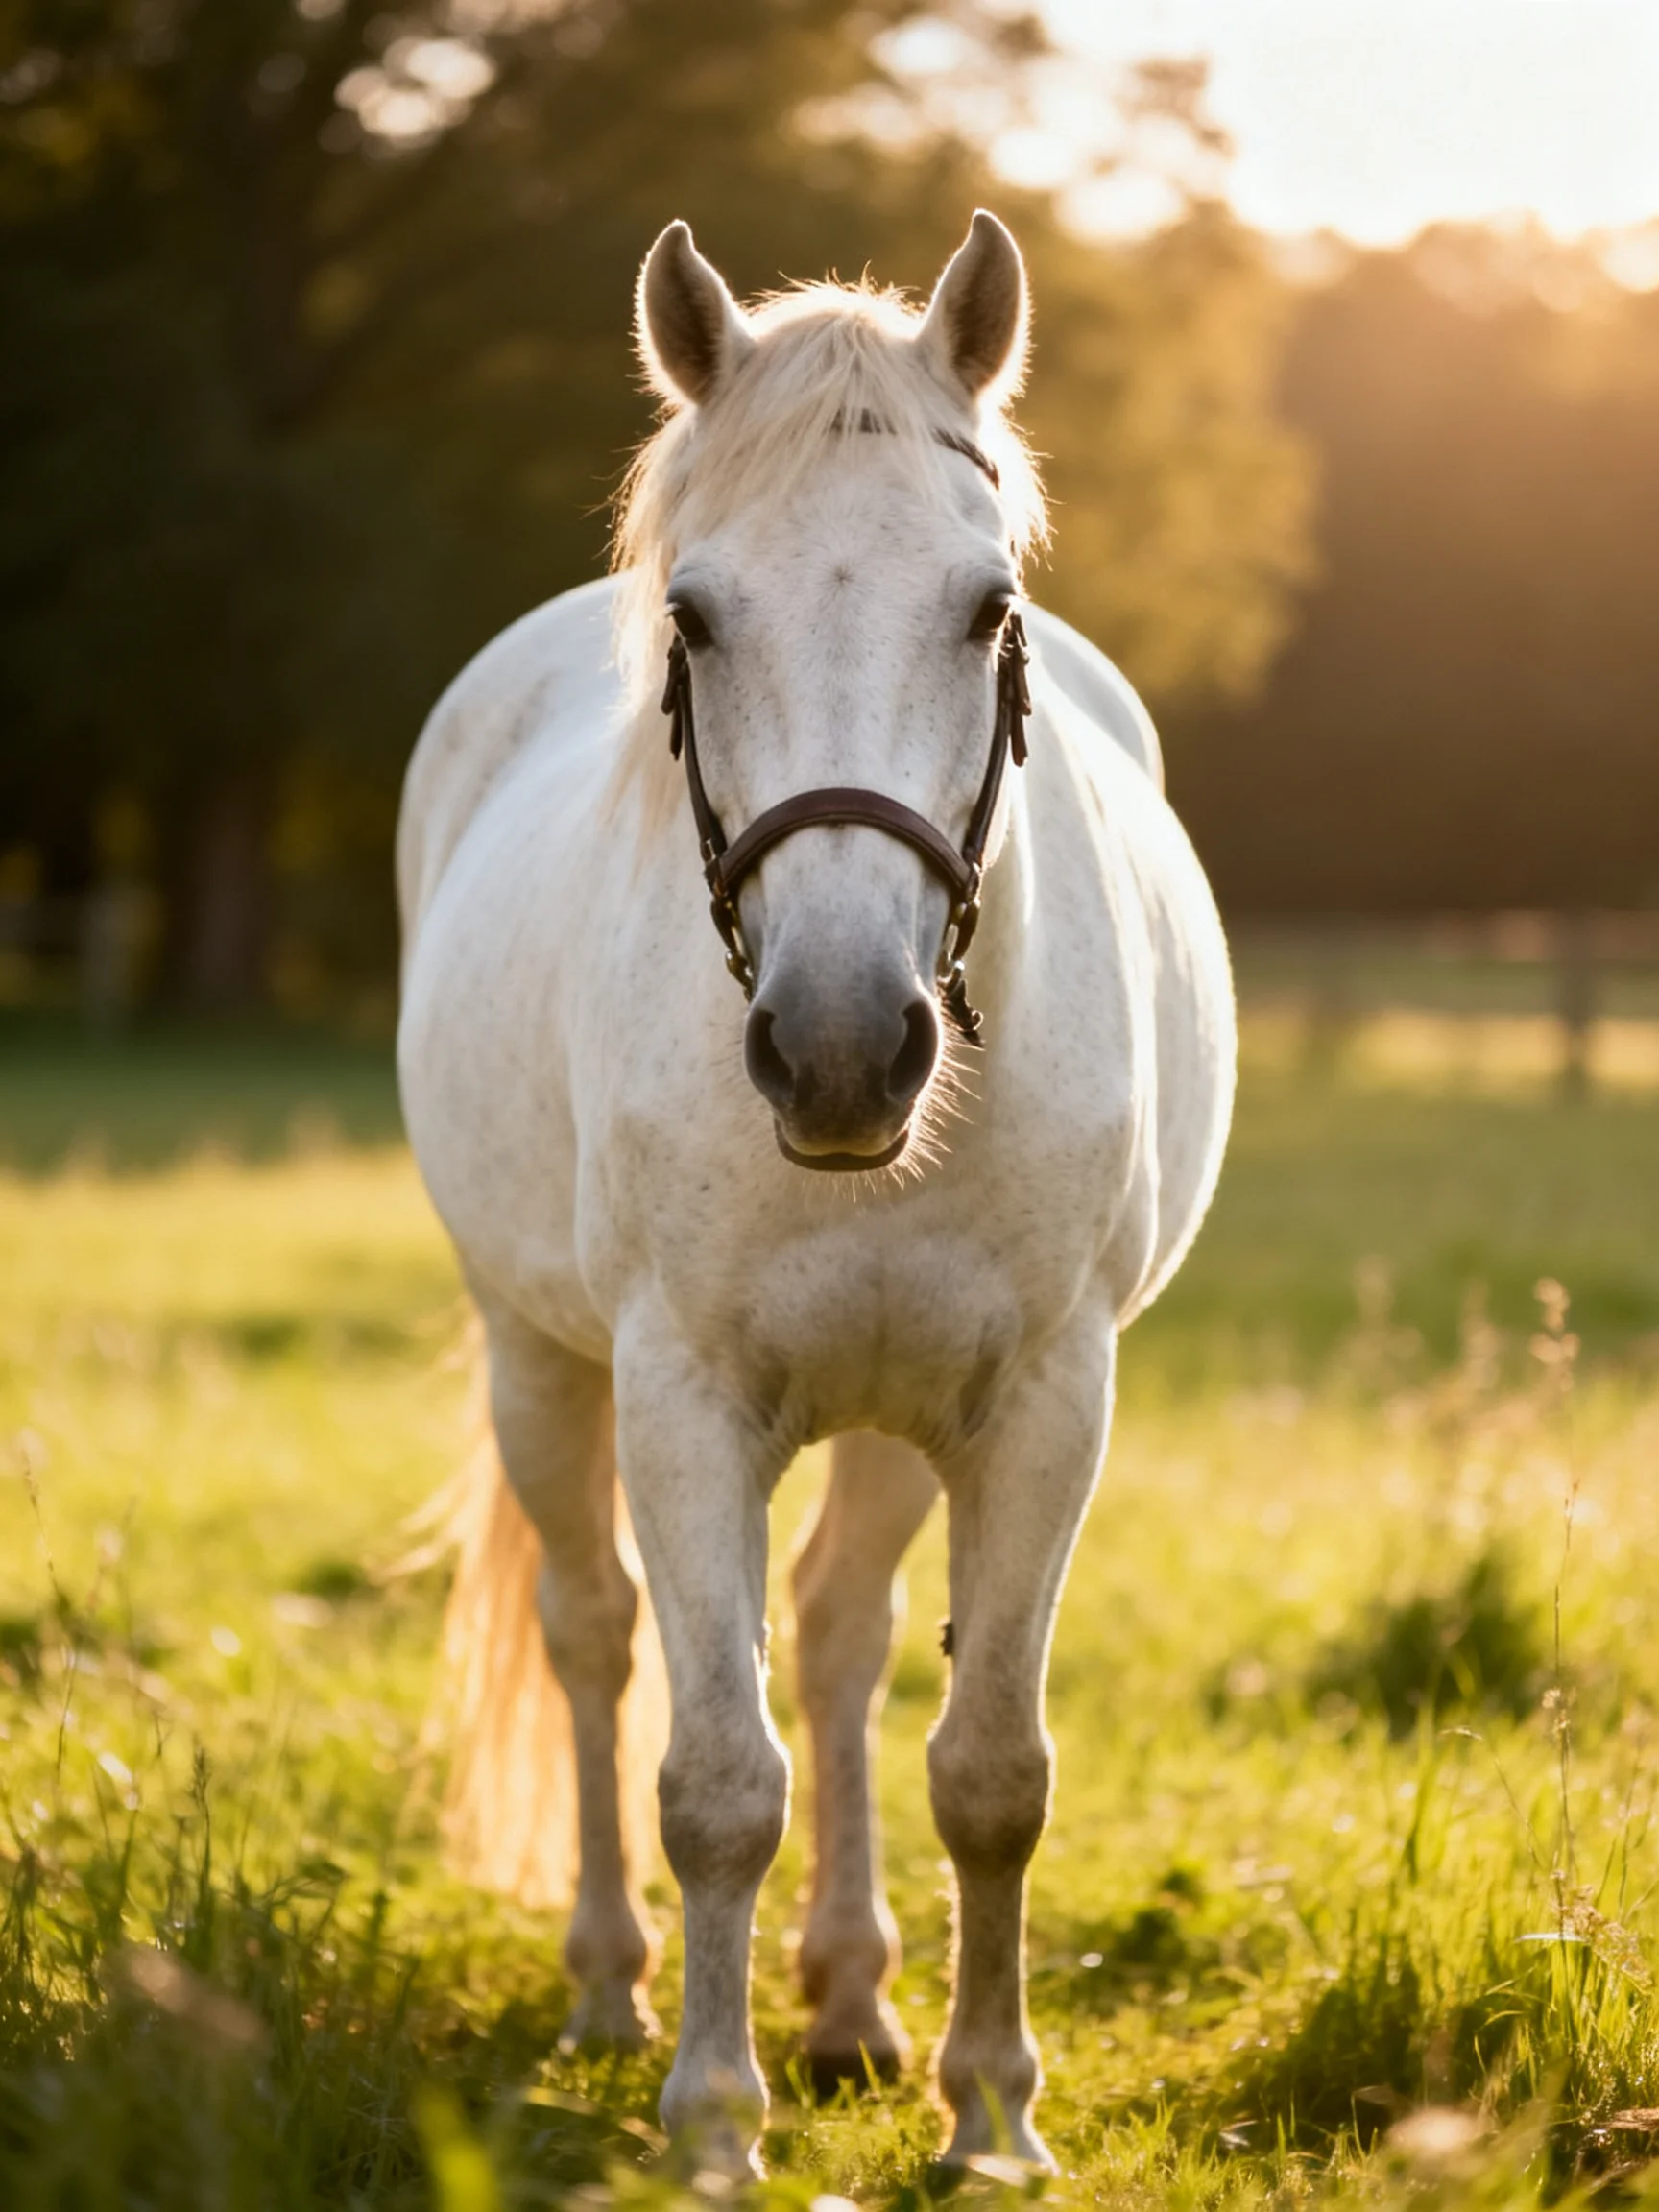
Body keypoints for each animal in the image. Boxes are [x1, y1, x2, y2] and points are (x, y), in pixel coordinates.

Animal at [396, 210, 1236, 2175]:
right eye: (695, 619)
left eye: (987, 610)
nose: (845, 1051)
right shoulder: (681, 1396)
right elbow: (713, 1775)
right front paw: (711, 2123)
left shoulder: (1043, 1401)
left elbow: (991, 1769)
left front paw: (990, 2114)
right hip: (537, 1362)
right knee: (594, 1635)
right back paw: (610, 1986)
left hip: (889, 1406)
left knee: (846, 1639)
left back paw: (854, 2002)